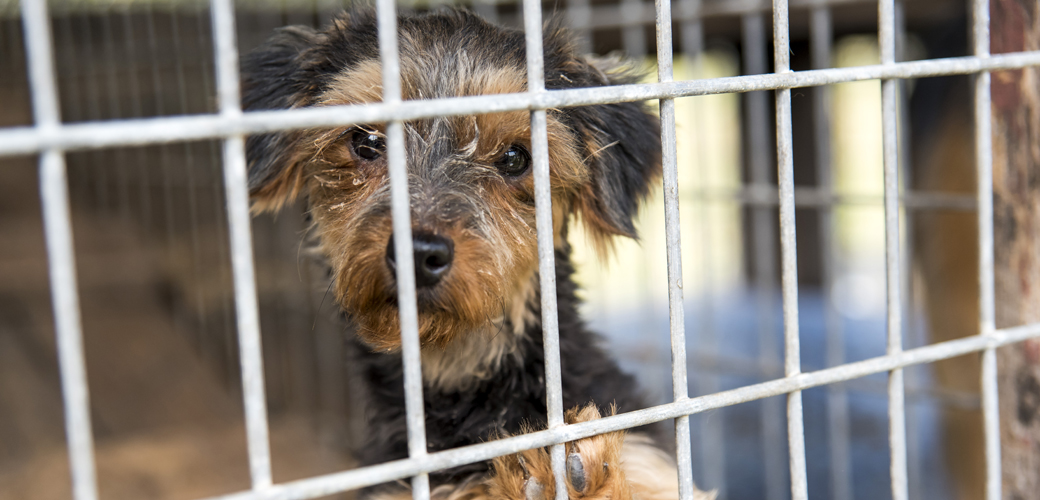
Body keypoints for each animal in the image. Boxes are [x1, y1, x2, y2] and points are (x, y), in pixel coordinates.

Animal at [242, 7, 711, 498]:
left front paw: (573, 474)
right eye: (366, 142)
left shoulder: (652, 462)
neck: (463, 379)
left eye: (515, 157)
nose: (417, 253)